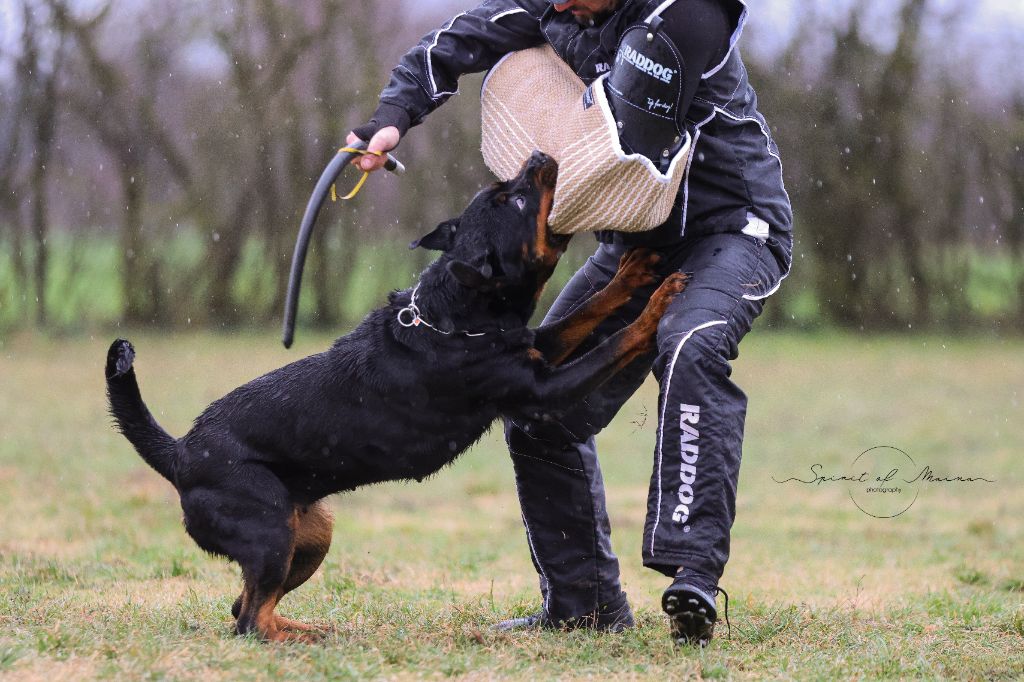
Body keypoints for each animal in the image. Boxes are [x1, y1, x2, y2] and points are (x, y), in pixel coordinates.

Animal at [105, 151, 688, 638]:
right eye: (517, 201)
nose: (539, 156)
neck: (456, 316)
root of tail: (180, 451)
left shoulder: (536, 346)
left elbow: (586, 314)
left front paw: (633, 275)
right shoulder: (541, 388)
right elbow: (613, 341)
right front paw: (657, 305)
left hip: (309, 532)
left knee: (243, 606)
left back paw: (310, 628)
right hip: (270, 529)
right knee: (250, 622)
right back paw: (306, 636)